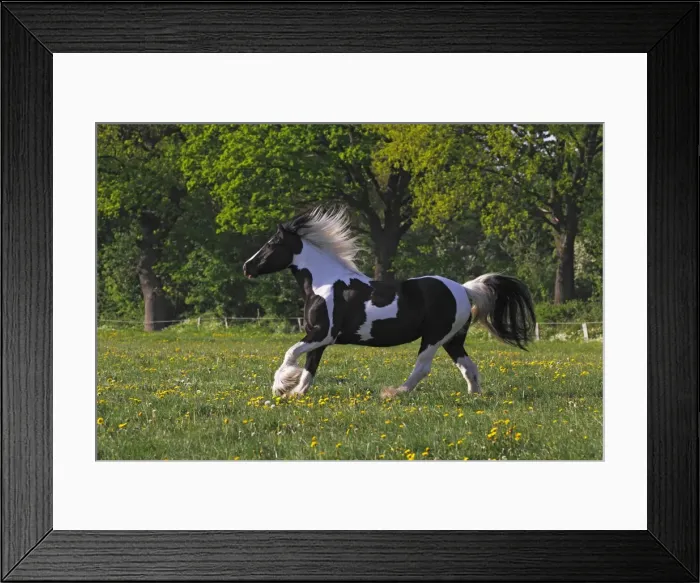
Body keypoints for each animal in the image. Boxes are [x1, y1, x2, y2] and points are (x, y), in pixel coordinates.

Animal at [243, 206, 536, 399]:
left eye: (272, 243)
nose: (247, 267)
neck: (322, 284)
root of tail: (464, 290)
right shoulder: (319, 338)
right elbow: (309, 368)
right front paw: (295, 393)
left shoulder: (321, 334)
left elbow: (291, 353)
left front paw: (280, 386)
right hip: (453, 339)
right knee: (468, 368)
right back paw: (474, 396)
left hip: (433, 337)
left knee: (422, 368)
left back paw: (394, 392)